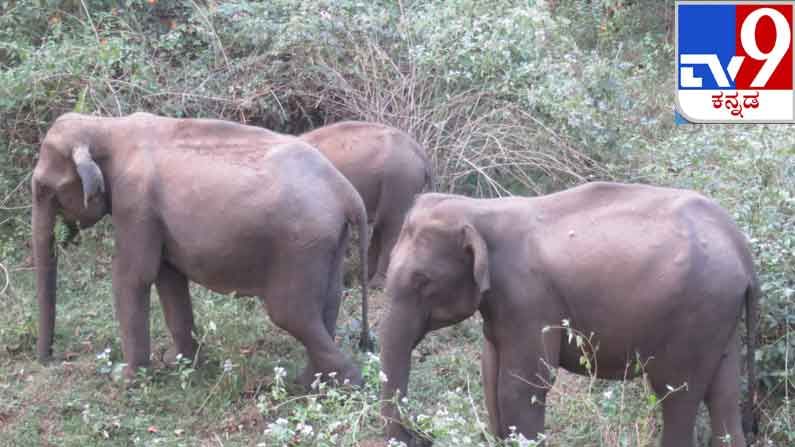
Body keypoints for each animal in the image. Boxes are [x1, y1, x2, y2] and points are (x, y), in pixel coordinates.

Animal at [32, 113, 374, 384]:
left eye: (44, 189)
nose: (47, 358)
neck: (105, 126)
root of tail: (347, 192)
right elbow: (168, 278)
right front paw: (181, 363)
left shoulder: (135, 203)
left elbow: (134, 276)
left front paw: (126, 378)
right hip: (329, 241)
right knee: (327, 303)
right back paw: (312, 382)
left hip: (300, 243)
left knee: (291, 313)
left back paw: (342, 383)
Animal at [382, 182, 760, 447]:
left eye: (422, 281)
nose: (420, 435)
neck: (479, 210)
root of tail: (741, 246)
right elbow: (490, 374)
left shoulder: (529, 299)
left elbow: (521, 386)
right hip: (720, 315)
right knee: (723, 396)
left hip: (696, 311)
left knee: (677, 395)